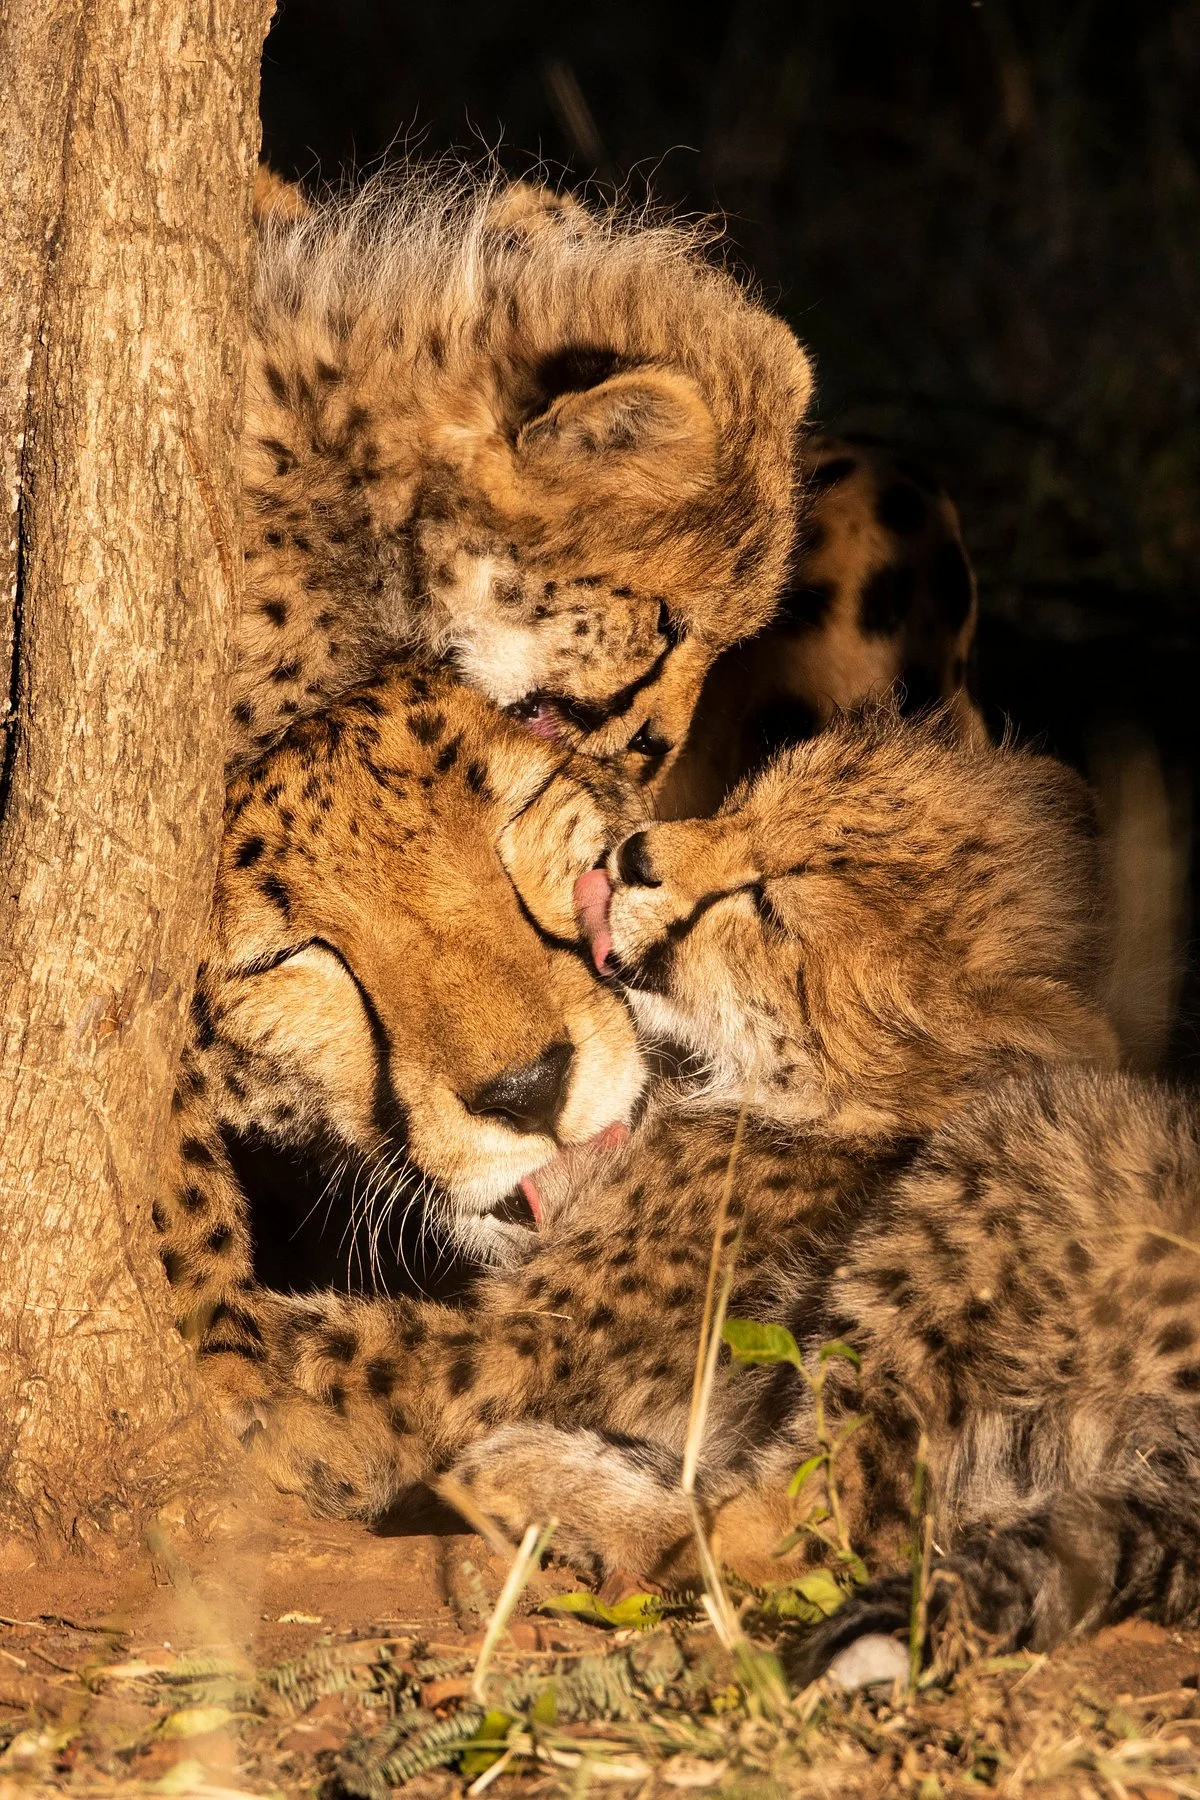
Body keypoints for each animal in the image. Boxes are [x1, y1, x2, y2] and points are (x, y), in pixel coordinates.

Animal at [208, 707, 1200, 1677]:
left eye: (767, 907)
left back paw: (534, 1477)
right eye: (749, 803)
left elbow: (283, 1344)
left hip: (1029, 1135)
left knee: (812, 1529)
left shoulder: (505, 1348)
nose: (635, 856)